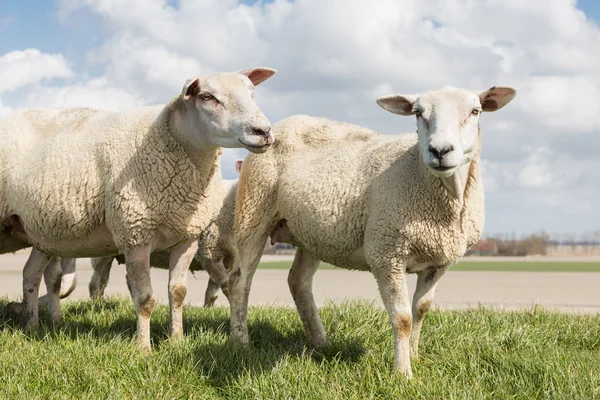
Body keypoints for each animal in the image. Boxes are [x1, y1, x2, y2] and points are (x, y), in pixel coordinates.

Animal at [0, 67, 276, 352]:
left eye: (252, 92)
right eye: (207, 97)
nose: (263, 131)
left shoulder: (188, 236)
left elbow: (178, 293)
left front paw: (176, 340)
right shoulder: (136, 233)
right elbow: (144, 299)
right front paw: (143, 349)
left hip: (39, 231)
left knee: (31, 274)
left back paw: (33, 325)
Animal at [227, 85, 516, 378]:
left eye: (475, 111)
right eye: (418, 112)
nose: (439, 150)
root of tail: (283, 124)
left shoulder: (439, 261)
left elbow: (421, 310)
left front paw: (415, 357)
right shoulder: (386, 253)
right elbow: (403, 318)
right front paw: (402, 373)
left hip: (311, 232)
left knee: (298, 281)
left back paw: (319, 341)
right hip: (254, 210)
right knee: (240, 282)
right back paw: (241, 343)